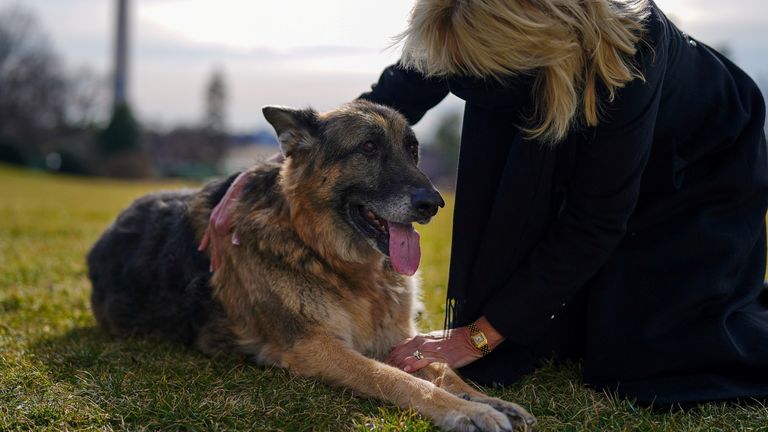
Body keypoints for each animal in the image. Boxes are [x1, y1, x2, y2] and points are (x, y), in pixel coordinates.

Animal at [88, 99, 536, 430]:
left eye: (413, 150)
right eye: (368, 148)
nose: (434, 203)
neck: (327, 255)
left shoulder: (401, 338)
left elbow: (443, 369)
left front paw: (489, 400)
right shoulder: (315, 347)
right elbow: (397, 378)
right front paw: (468, 411)